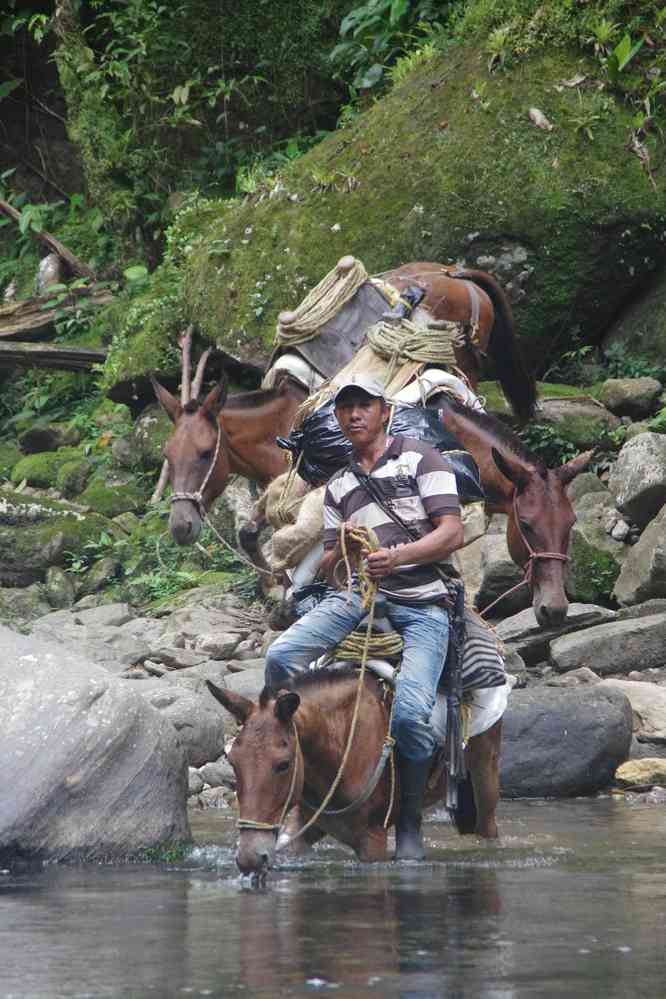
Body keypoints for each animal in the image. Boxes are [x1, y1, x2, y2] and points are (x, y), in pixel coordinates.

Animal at [205, 672, 500, 876]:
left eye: (284, 764)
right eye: (232, 761)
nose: (249, 859)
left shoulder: (373, 841)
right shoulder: (304, 824)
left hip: (485, 774)